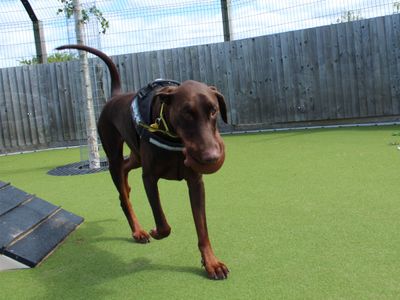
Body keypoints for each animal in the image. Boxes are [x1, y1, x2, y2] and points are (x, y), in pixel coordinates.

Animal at [57, 44, 230, 278]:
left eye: (213, 110)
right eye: (186, 113)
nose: (211, 157)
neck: (173, 137)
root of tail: (115, 96)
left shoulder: (195, 182)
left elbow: (202, 227)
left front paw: (212, 263)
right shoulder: (149, 177)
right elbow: (163, 223)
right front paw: (155, 231)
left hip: (137, 154)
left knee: (126, 167)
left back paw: (127, 187)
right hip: (113, 154)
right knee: (122, 192)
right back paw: (137, 230)